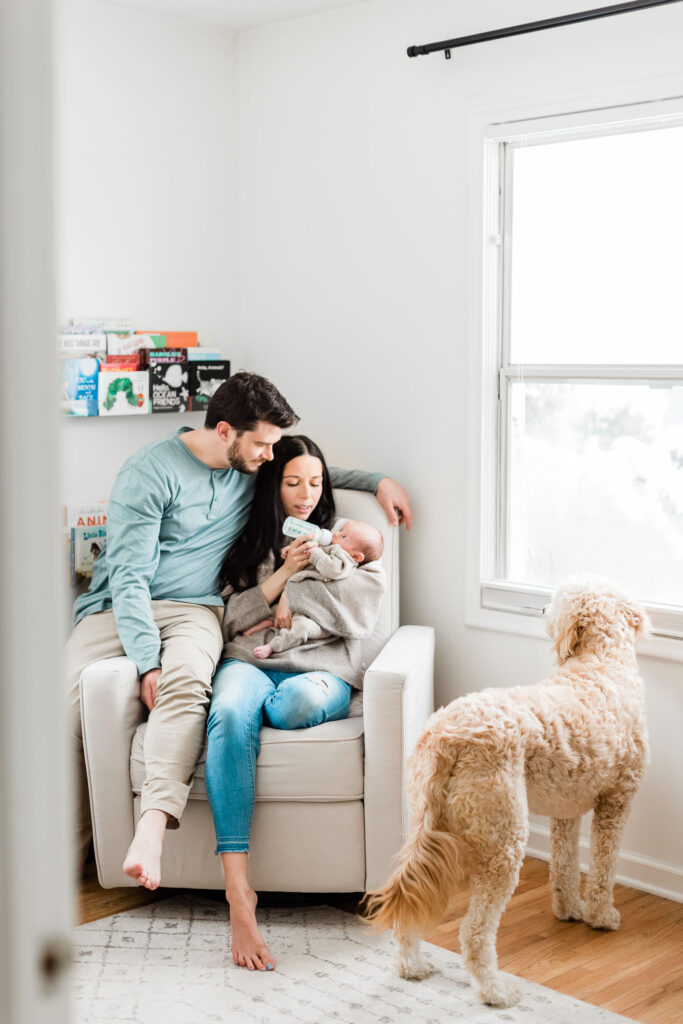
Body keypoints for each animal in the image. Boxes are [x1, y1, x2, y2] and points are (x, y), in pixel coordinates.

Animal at [362, 577, 651, 1007]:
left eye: (554, 603)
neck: (601, 661)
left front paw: (569, 909)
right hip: (504, 840)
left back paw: (412, 966)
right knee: (474, 933)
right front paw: (601, 916)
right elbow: (603, 868)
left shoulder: (565, 811)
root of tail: (447, 735)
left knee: (410, 902)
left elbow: (565, 866)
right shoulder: (616, 802)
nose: (542, 611)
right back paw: (495, 992)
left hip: (423, 826)